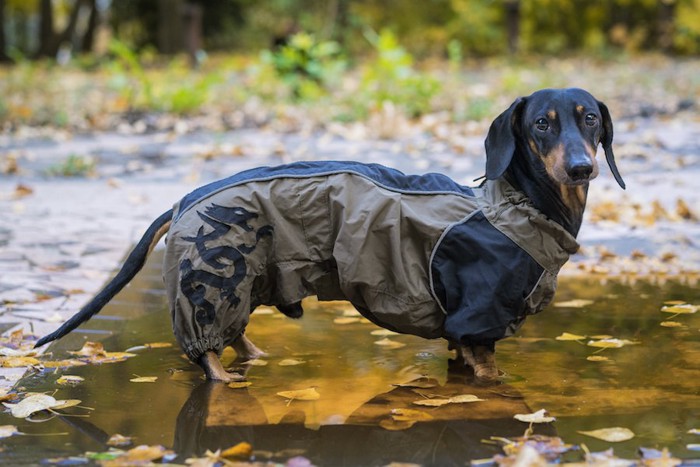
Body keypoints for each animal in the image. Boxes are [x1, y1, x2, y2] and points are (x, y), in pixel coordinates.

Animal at [34, 88, 624, 384]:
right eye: (541, 124)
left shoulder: (464, 337)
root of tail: (185, 200)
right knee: (207, 356)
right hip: (206, 285)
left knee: (237, 337)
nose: (581, 168)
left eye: (590, 119)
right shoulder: (478, 324)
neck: (516, 206)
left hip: (244, 285)